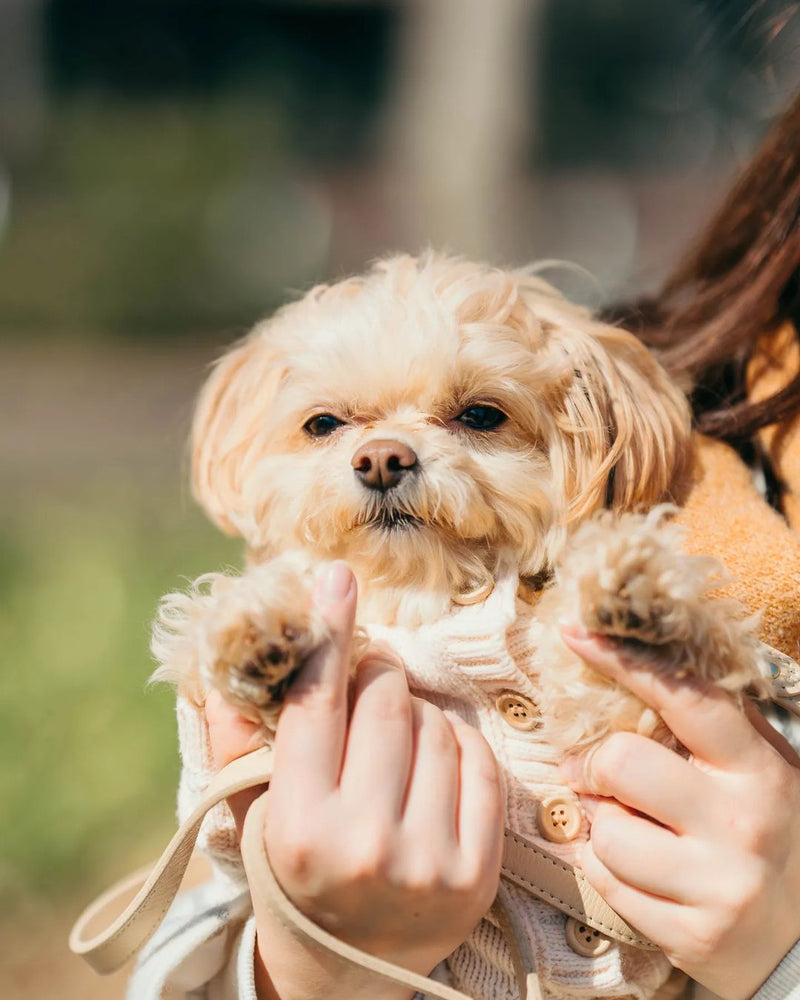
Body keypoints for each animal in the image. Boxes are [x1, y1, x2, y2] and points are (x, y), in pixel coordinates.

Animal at [152, 250, 768, 752]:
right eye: (323, 423)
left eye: (479, 415)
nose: (381, 459)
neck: (428, 594)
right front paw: (260, 632)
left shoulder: (618, 732)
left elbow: (614, 697)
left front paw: (638, 590)